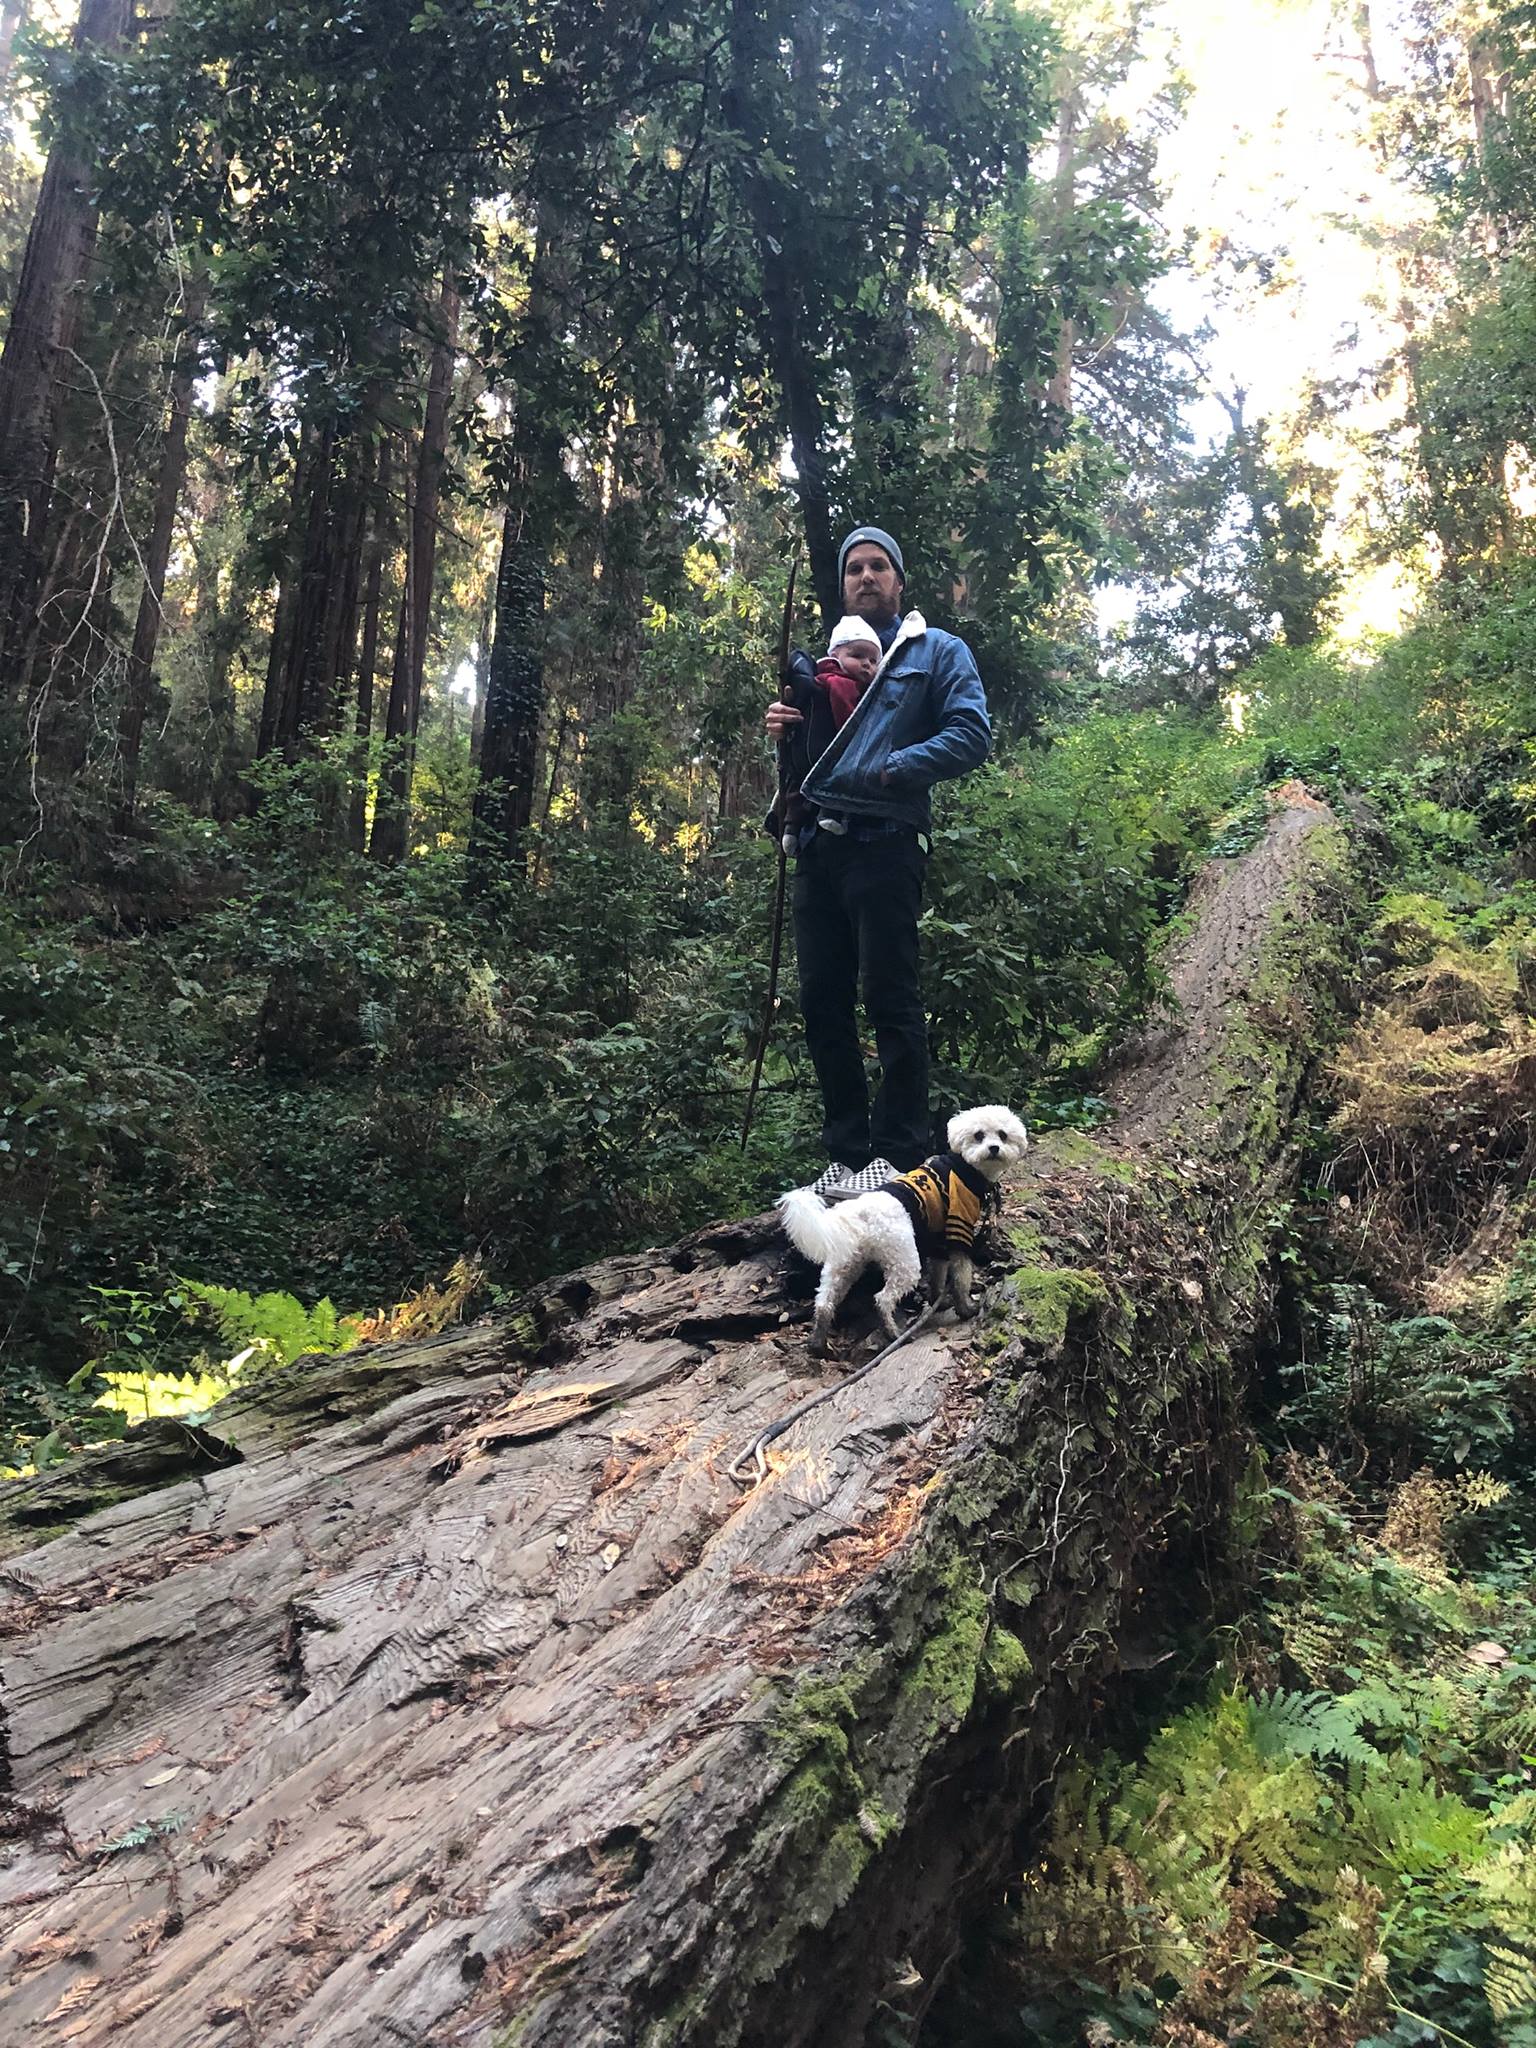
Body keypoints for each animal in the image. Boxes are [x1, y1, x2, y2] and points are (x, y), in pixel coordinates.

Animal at [782, 1114, 1036, 1351]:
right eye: (979, 1135)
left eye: (1002, 1135)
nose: (994, 1148)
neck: (964, 1165)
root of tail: (859, 1212)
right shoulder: (959, 1230)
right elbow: (961, 1278)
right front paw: (966, 1309)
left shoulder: (939, 1241)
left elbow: (938, 1276)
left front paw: (939, 1301)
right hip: (904, 1259)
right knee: (883, 1299)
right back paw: (893, 1333)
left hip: (844, 1262)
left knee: (824, 1301)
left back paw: (818, 1343)